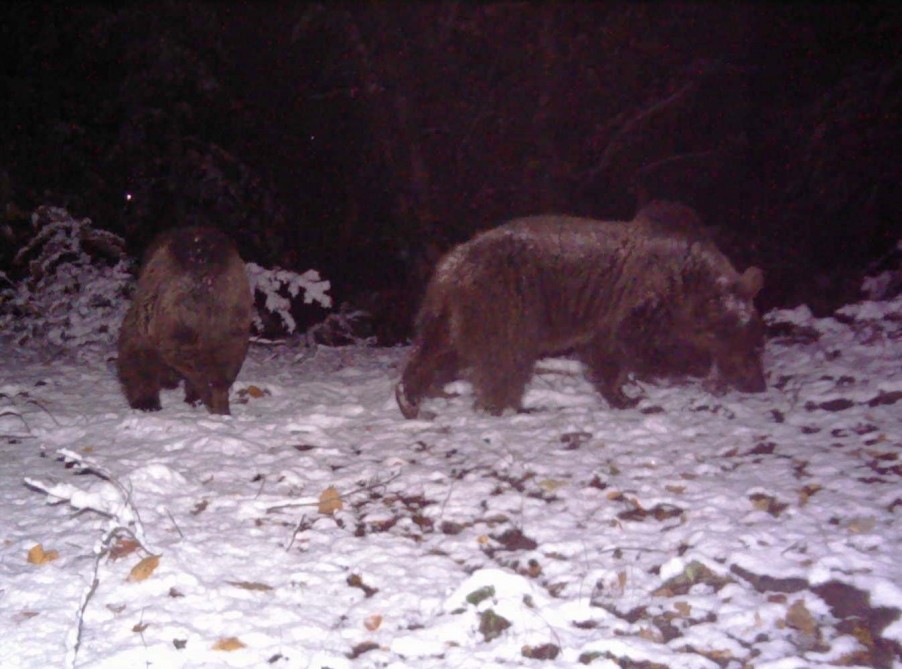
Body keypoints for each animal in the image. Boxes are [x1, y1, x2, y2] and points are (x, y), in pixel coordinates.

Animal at [400, 198, 768, 418]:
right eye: (751, 343)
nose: (758, 384)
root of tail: (452, 263)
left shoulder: (606, 313)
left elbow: (606, 355)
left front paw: (621, 395)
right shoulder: (642, 301)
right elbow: (640, 347)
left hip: (450, 309)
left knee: (436, 348)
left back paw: (410, 397)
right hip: (506, 299)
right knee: (504, 355)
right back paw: (506, 406)